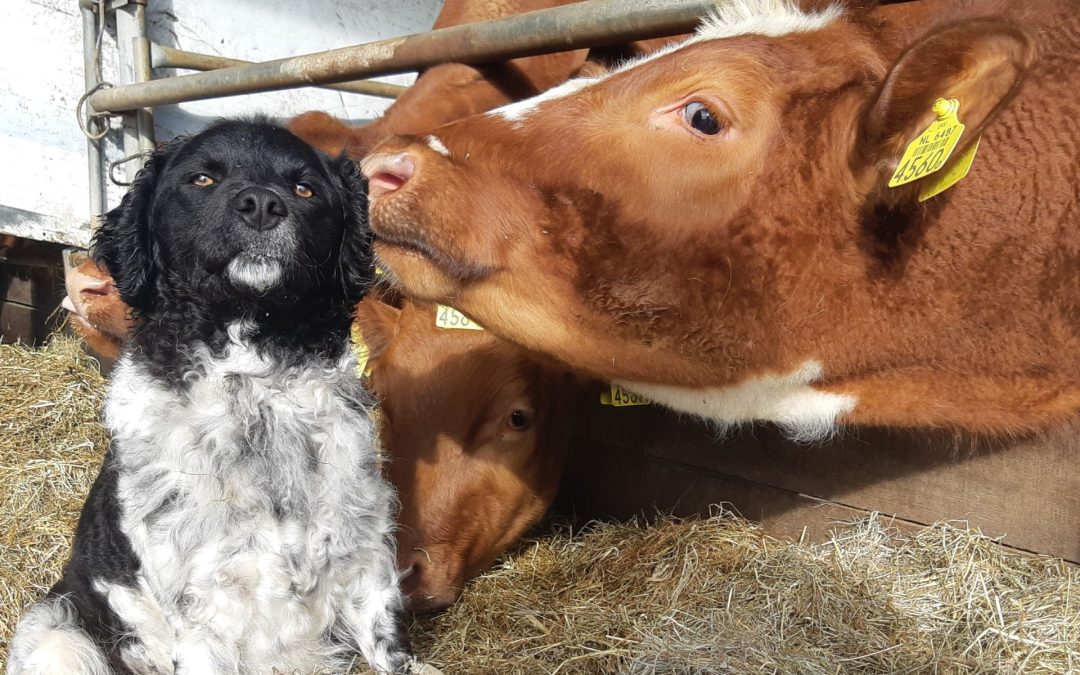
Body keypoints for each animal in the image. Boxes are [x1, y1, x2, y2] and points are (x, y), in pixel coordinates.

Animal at [7, 119, 412, 673]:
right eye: (202, 179)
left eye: (304, 188)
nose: (261, 203)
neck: (252, 390)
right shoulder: (203, 599)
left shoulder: (362, 552)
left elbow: (387, 642)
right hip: (60, 637)